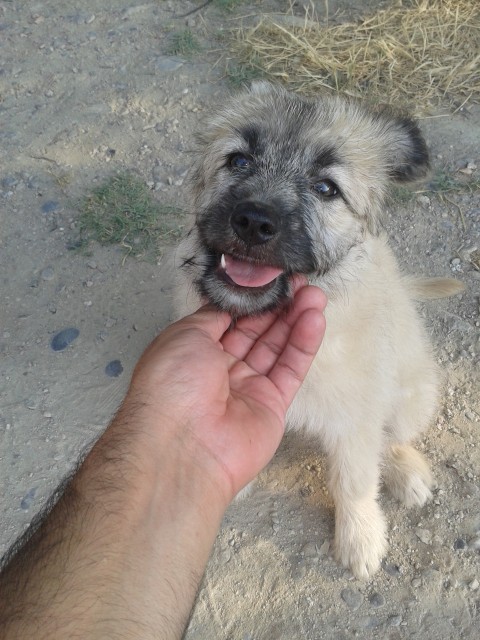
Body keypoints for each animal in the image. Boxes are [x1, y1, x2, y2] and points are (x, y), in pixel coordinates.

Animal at [172, 81, 462, 580]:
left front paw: (360, 538)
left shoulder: (356, 421)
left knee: (395, 437)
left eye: (326, 188)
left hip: (412, 395)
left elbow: (355, 482)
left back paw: (408, 472)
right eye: (238, 161)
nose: (254, 222)